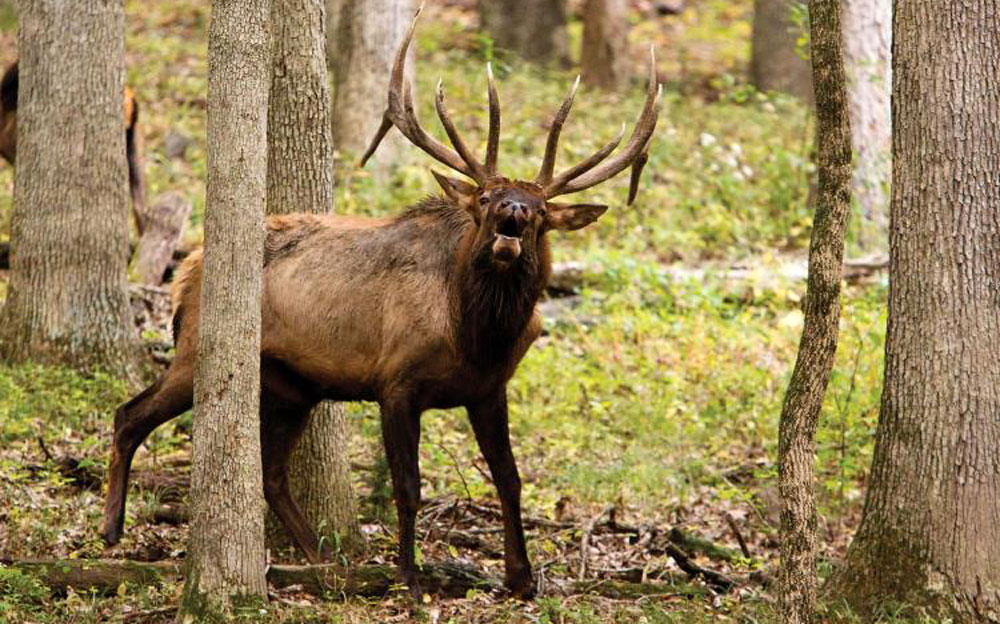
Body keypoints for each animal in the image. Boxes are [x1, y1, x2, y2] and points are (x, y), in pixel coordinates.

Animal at [100, 5, 660, 600]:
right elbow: (408, 486)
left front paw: (522, 577)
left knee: (270, 471)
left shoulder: (489, 389)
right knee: (129, 414)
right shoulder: (396, 381)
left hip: (294, 387)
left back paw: (321, 555)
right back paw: (112, 529)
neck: (474, 336)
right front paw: (409, 577)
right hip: (196, 350)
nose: (513, 209)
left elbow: (510, 479)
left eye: (542, 210)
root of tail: (186, 269)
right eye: (486, 197)